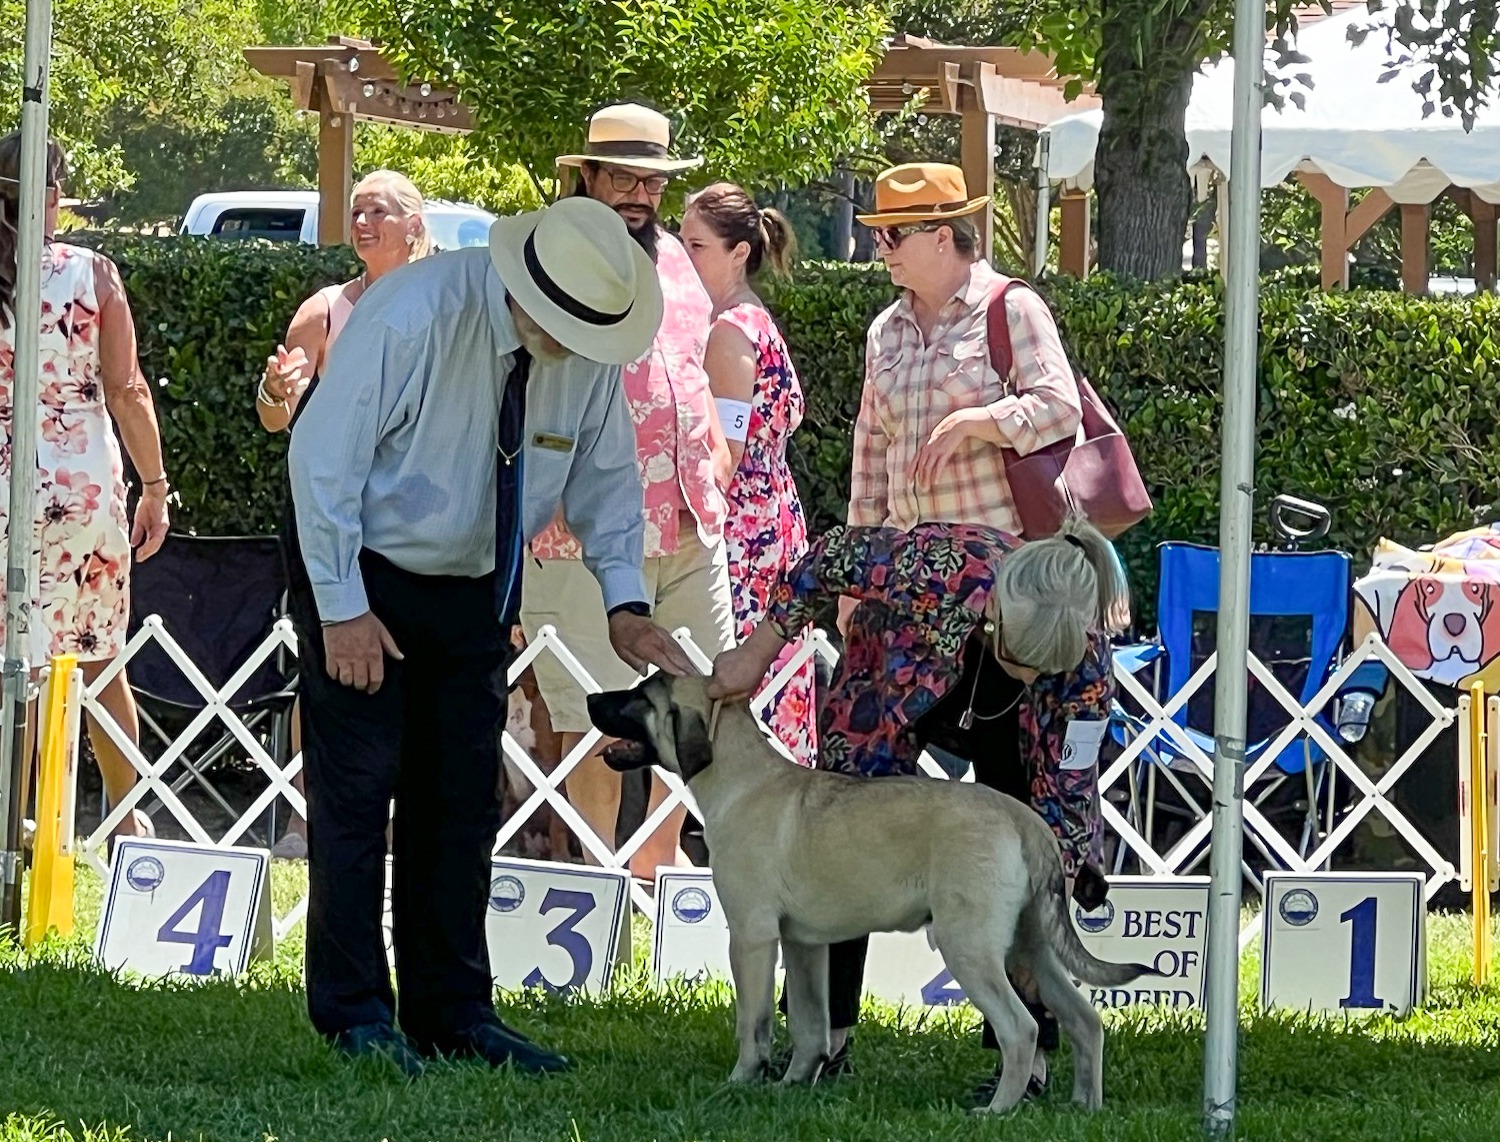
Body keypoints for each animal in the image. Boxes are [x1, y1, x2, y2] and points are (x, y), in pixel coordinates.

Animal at [585, 672, 1146, 1110]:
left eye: (639, 698)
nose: (592, 700)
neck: (741, 779)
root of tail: (1024, 818)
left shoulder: (751, 938)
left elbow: (754, 1022)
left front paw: (741, 1082)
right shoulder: (804, 945)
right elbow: (810, 1024)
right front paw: (793, 1083)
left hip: (971, 946)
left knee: (1021, 1029)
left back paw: (998, 1110)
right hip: (1032, 946)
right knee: (1085, 1020)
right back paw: (1085, 1106)